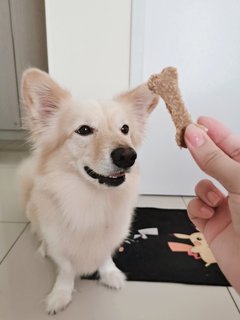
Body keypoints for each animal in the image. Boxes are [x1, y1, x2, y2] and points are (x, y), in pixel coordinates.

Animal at [18, 69, 158, 314]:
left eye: (125, 129)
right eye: (84, 130)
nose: (128, 156)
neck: (92, 198)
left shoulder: (110, 238)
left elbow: (105, 257)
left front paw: (110, 275)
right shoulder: (59, 245)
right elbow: (65, 269)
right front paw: (61, 295)